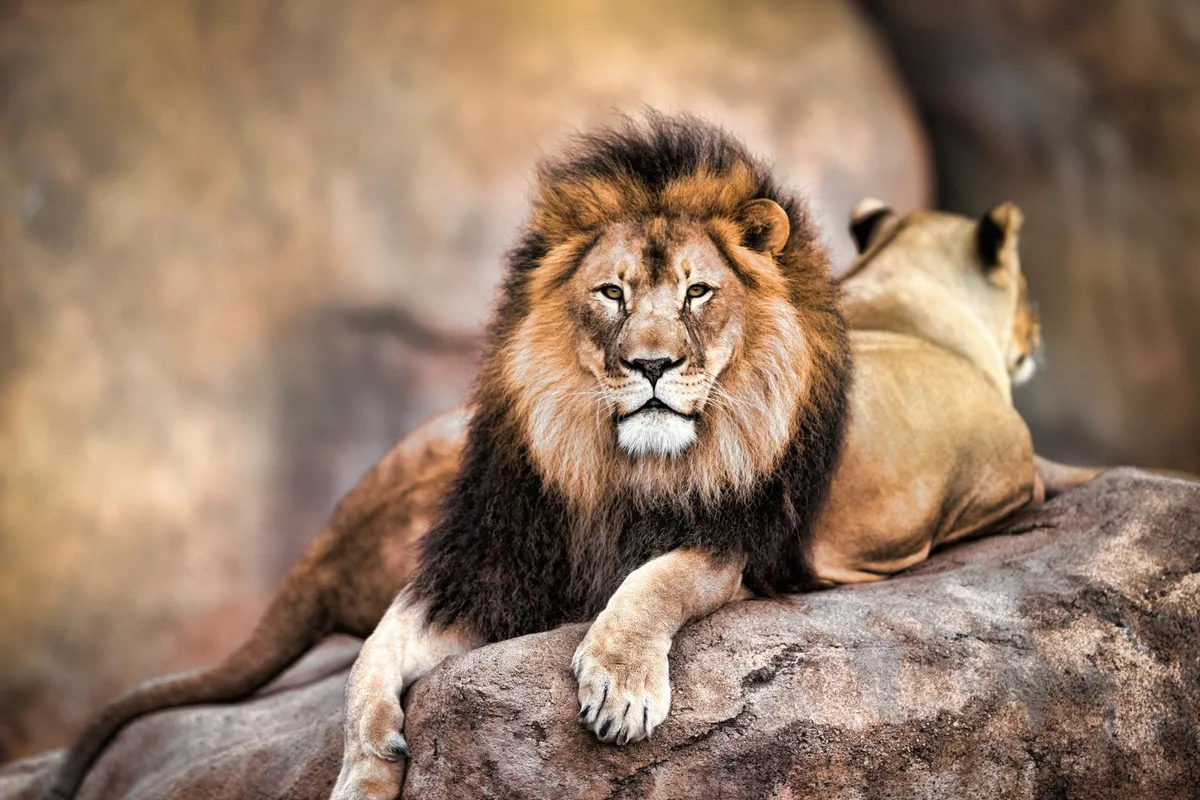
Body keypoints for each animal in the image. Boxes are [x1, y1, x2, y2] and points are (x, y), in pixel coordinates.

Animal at [37, 114, 853, 800]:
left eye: (698, 292)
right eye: (612, 293)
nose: (651, 364)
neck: (620, 469)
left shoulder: (745, 548)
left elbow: (662, 575)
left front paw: (619, 685)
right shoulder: (479, 569)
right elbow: (371, 656)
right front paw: (363, 771)